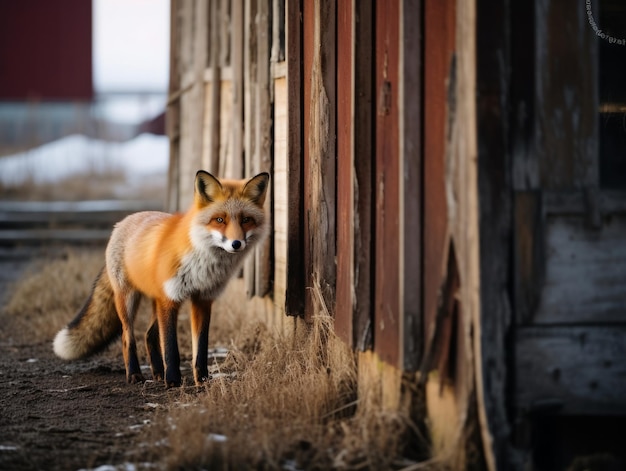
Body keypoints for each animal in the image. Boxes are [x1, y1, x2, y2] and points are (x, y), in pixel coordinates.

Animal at [53, 171, 268, 390]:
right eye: (219, 219)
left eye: (246, 219)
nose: (236, 243)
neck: (202, 262)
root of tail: (122, 222)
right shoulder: (170, 299)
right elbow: (171, 348)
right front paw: (173, 381)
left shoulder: (203, 299)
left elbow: (200, 347)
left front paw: (202, 380)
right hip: (128, 299)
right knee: (127, 337)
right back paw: (135, 374)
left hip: (156, 301)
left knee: (149, 335)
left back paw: (157, 373)